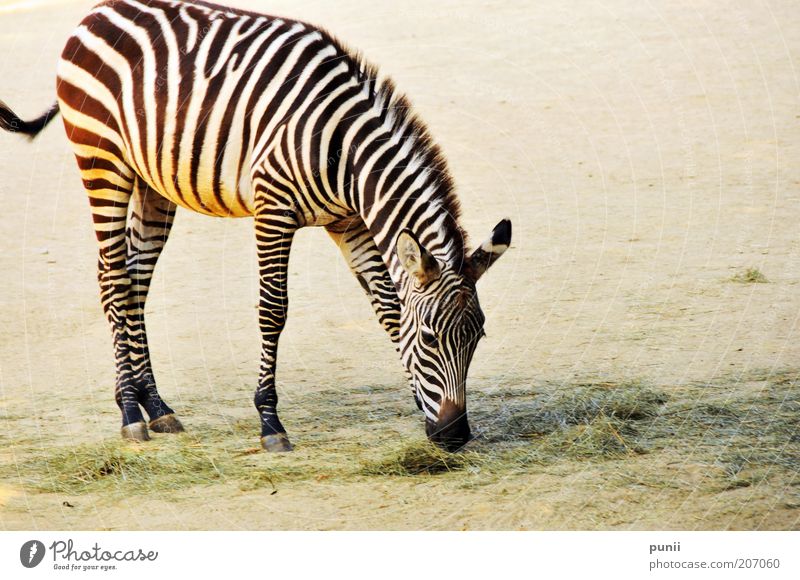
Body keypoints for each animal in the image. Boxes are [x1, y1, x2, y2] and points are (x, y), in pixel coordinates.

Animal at [0, 0, 512, 454]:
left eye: (479, 337)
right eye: (430, 338)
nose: (455, 436)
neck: (345, 154)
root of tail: (97, 11)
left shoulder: (347, 222)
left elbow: (387, 311)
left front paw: (417, 403)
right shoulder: (273, 210)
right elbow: (273, 310)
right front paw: (270, 421)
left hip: (152, 182)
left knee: (134, 282)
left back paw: (155, 406)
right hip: (102, 162)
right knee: (112, 279)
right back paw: (129, 411)